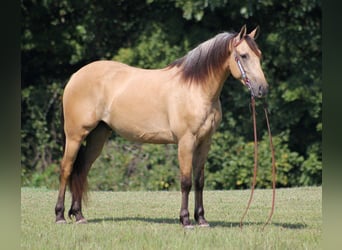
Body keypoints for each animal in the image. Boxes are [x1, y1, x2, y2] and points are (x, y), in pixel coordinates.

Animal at [54, 25, 268, 229]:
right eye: (244, 55)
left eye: (259, 55)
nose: (262, 89)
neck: (196, 89)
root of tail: (75, 76)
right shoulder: (186, 142)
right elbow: (186, 182)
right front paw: (185, 220)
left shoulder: (205, 142)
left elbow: (199, 181)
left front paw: (201, 219)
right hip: (75, 136)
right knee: (66, 169)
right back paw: (60, 216)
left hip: (97, 136)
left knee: (81, 170)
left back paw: (79, 216)